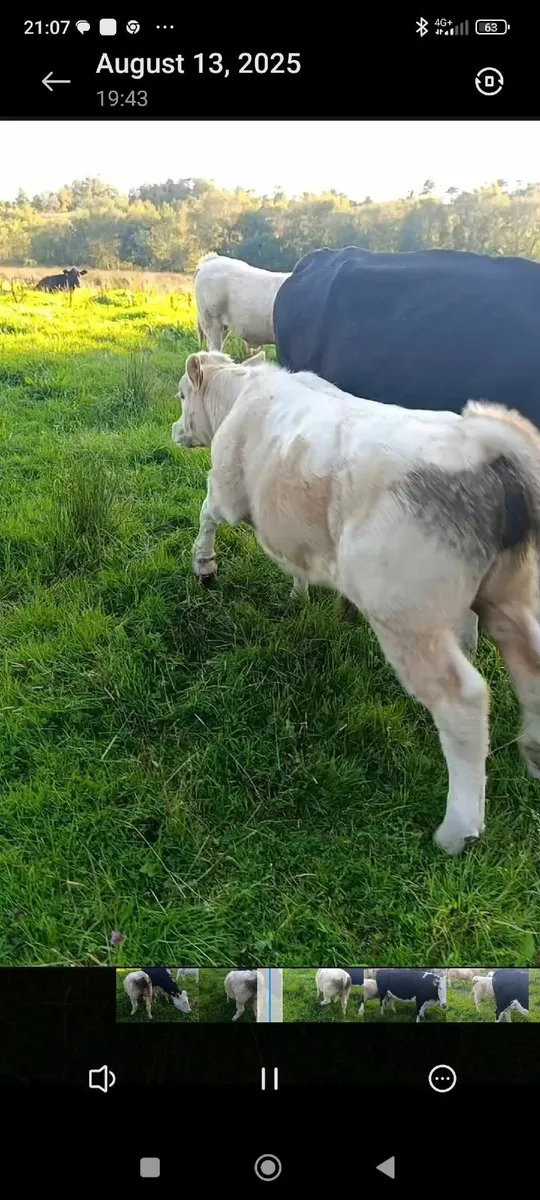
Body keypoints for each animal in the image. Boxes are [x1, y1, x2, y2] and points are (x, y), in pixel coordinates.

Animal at [172, 350, 540, 856]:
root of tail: (483, 445)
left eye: (181, 396)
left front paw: (204, 565)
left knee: (462, 702)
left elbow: (207, 512)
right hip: (510, 597)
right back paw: (535, 753)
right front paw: (298, 594)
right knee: (531, 665)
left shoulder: (228, 489)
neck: (242, 393)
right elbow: (295, 564)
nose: (175, 430)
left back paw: (457, 830)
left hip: (408, 617)